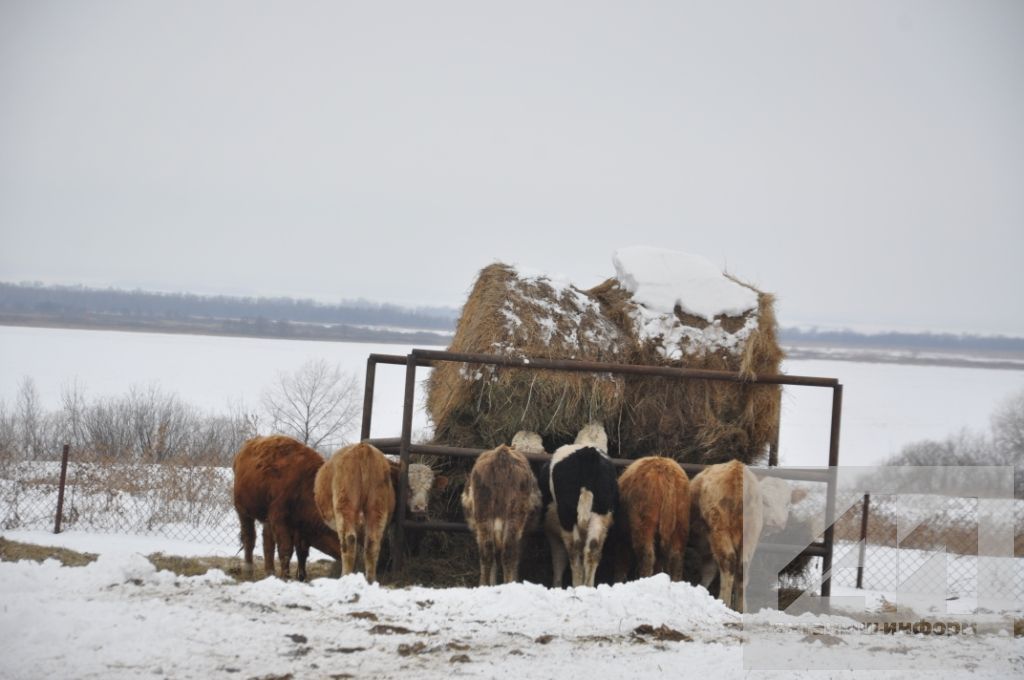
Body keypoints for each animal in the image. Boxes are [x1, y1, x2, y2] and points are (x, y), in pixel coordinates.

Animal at [233, 436, 342, 577]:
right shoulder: (280, 519)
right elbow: (286, 550)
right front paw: (286, 576)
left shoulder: (299, 527)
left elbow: (302, 552)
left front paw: (301, 576)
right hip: (243, 511)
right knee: (249, 539)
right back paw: (248, 570)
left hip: (267, 518)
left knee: (267, 541)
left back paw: (270, 571)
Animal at [313, 444, 393, 581]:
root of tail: (363, 447)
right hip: (377, 507)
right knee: (372, 542)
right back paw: (371, 579)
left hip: (345, 505)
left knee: (349, 540)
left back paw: (345, 576)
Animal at [544, 421, 614, 585]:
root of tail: (588, 454)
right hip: (600, 514)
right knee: (592, 550)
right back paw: (588, 585)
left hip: (567, 515)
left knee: (574, 551)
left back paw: (577, 584)